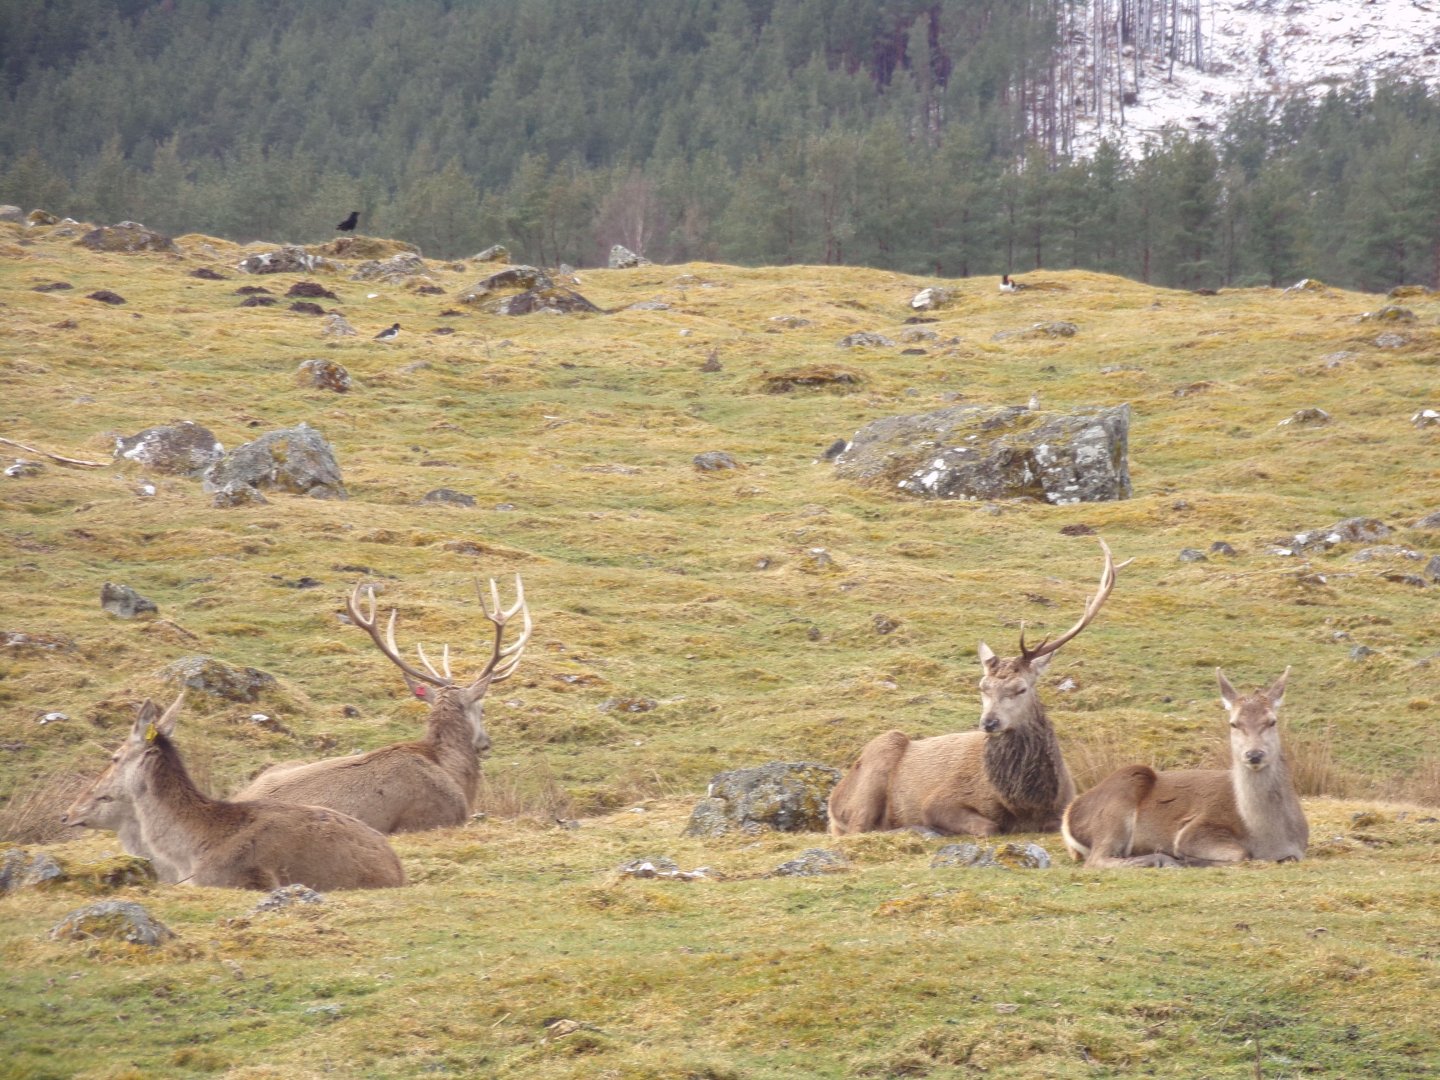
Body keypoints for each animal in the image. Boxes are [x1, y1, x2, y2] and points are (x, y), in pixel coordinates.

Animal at [828, 538, 1124, 837]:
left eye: (1021, 688)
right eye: (982, 687)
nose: (989, 723)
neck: (1025, 805)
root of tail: (833, 799)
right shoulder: (937, 801)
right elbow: (990, 826)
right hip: (878, 759)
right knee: (859, 828)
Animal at [1061, 668, 1308, 867]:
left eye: (1272, 721)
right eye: (1234, 723)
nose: (1254, 754)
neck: (1269, 840)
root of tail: (1068, 813)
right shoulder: (1195, 830)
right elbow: (1240, 854)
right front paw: (1186, 858)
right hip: (1119, 798)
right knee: (1097, 860)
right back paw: (1163, 859)